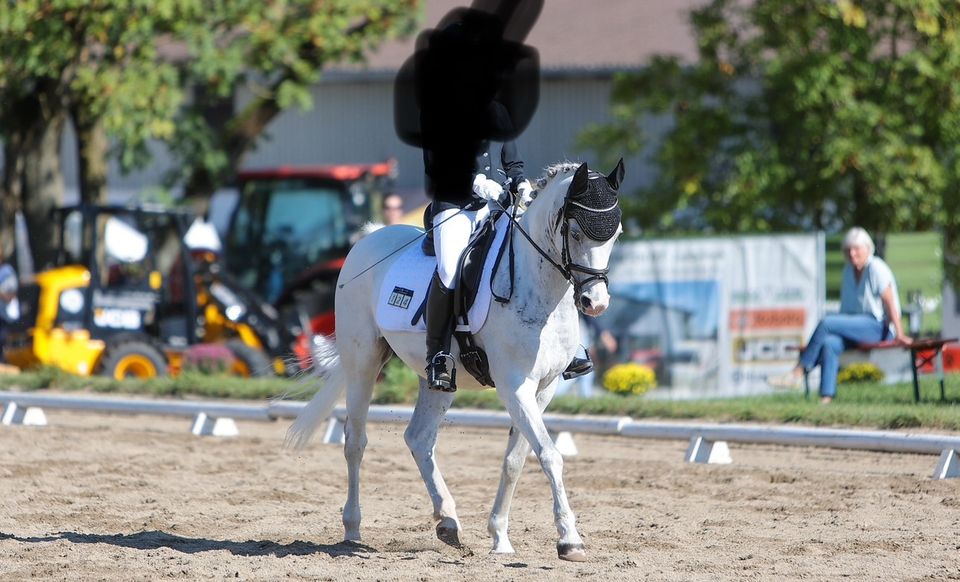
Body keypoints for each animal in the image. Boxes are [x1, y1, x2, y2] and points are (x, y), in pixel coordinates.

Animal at [288, 161, 628, 564]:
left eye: (616, 235)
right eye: (575, 232)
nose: (596, 303)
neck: (540, 289)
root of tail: (369, 237)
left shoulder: (544, 388)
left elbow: (516, 459)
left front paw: (500, 537)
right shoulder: (515, 386)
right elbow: (549, 454)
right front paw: (569, 539)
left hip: (437, 377)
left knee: (419, 437)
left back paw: (448, 521)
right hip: (363, 361)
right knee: (355, 440)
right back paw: (353, 530)